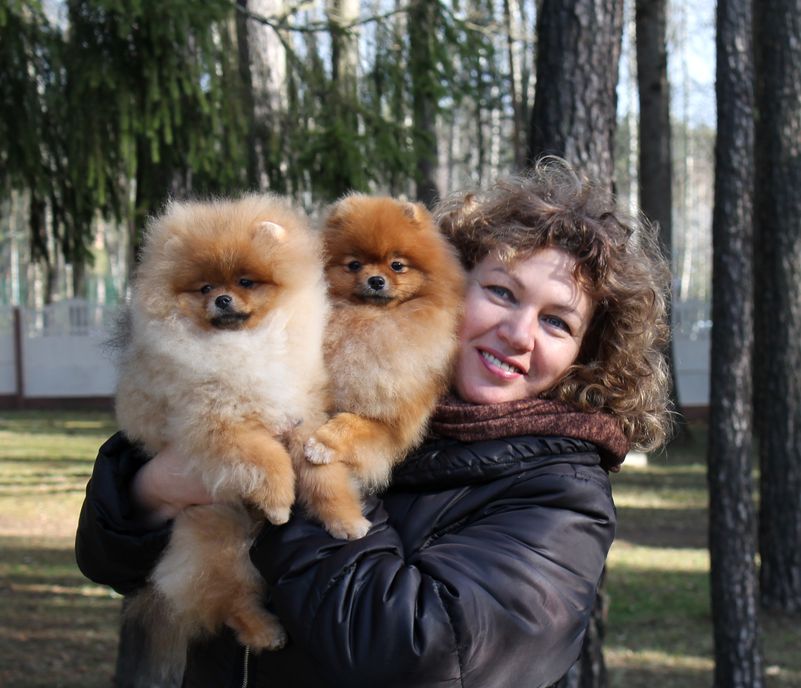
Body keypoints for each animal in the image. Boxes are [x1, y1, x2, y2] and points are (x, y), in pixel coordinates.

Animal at [298, 194, 465, 539]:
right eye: (354, 265)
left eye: (397, 265)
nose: (376, 280)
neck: (369, 323)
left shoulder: (393, 423)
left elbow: (353, 422)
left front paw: (322, 444)